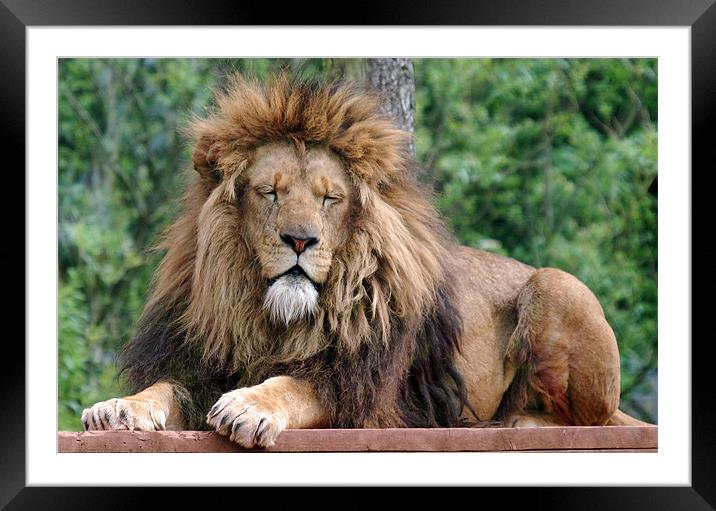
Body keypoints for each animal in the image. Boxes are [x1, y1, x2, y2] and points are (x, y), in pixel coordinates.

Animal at [81, 72, 648, 448]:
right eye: (269, 192)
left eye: (330, 199)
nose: (300, 240)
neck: (271, 320)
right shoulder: (199, 363)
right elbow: (163, 388)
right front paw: (117, 408)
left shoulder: (361, 393)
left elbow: (293, 386)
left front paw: (249, 404)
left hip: (555, 284)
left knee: (591, 420)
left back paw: (520, 422)